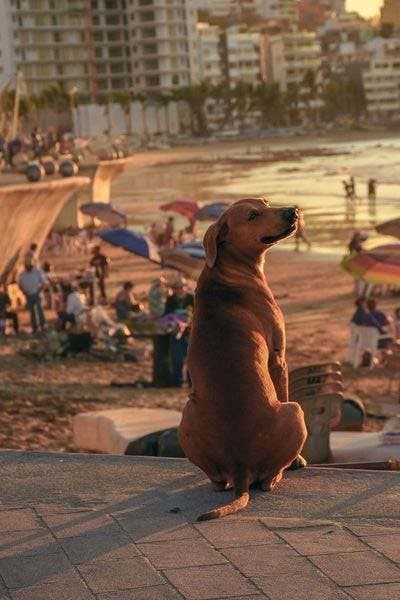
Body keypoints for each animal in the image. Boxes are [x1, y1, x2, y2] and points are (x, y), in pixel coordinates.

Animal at [180, 197, 308, 520]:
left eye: (266, 202)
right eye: (252, 215)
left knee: (216, 481)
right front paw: (299, 460)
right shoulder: (278, 358)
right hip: (295, 411)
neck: (227, 271)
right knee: (267, 481)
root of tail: (240, 468)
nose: (293, 210)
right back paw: (281, 472)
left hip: (187, 415)